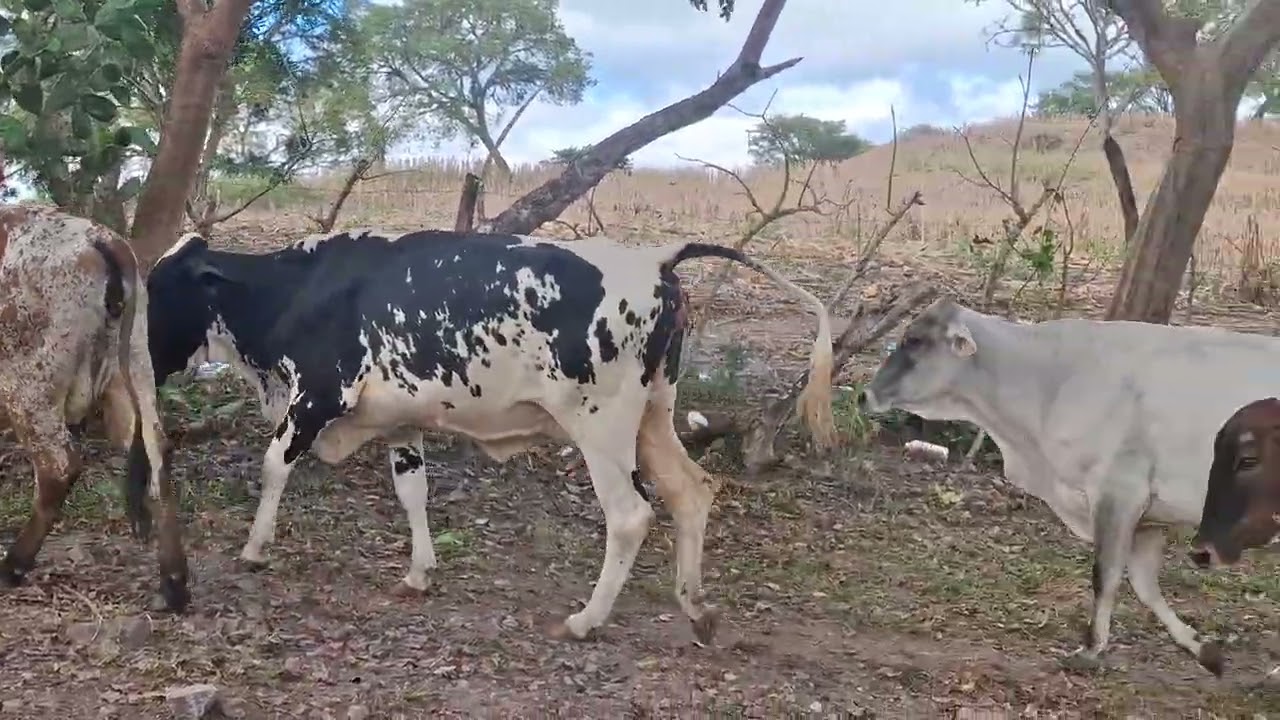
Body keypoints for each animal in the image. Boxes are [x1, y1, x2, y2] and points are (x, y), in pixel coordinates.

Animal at [0, 205, 188, 612]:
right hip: (136, 361)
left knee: (58, 467)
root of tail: (97, 237)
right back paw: (173, 583)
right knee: (158, 452)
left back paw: (13, 566)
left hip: (28, 389)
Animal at [128, 228, 837, 642]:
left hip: (601, 423)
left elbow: (273, 465)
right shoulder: (402, 422)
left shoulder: (316, 397)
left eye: (157, 289)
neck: (297, 290)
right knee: (692, 491)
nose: (137, 353)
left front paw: (255, 548)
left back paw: (586, 620)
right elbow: (412, 494)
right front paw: (418, 573)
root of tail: (653, 259)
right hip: (654, 416)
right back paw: (696, 608)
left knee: (631, 514)